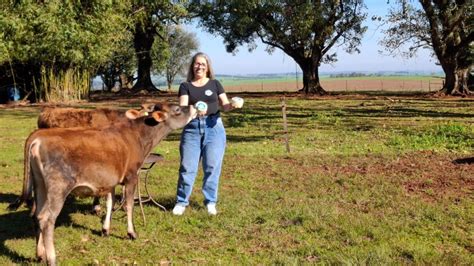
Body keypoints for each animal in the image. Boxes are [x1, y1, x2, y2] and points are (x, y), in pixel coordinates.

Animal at [11, 102, 196, 266]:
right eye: (177, 109)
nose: (194, 106)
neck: (137, 136)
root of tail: (38, 137)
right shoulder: (131, 176)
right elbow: (129, 205)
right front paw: (132, 233)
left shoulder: (110, 181)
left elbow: (110, 202)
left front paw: (105, 229)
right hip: (58, 187)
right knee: (47, 219)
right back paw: (52, 259)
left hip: (40, 185)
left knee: (36, 215)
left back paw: (40, 255)